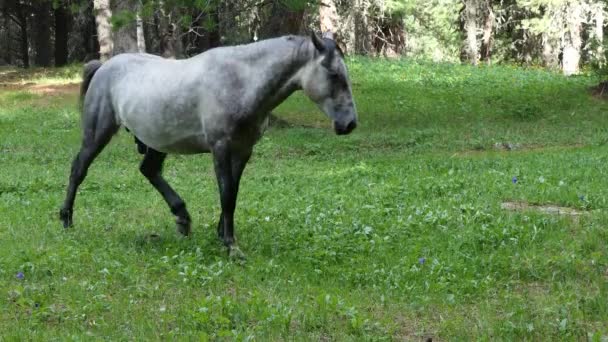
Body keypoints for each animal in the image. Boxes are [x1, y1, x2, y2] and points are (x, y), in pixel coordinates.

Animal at [58, 32, 356, 258]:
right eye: (333, 74)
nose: (350, 124)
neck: (241, 81)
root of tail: (104, 67)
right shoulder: (221, 148)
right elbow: (227, 194)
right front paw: (231, 246)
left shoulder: (243, 150)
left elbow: (233, 192)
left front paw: (222, 234)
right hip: (98, 133)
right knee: (78, 169)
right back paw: (66, 219)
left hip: (157, 140)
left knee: (149, 171)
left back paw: (182, 217)